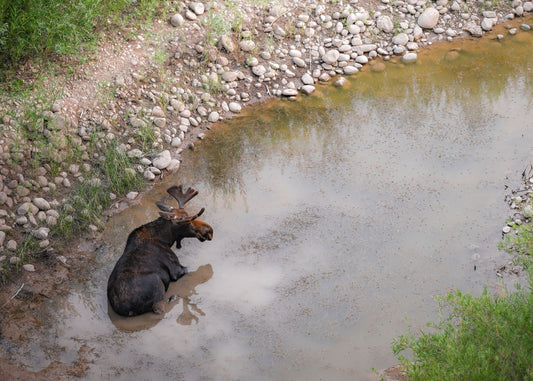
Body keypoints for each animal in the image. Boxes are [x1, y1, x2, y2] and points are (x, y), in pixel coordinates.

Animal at [107, 186, 213, 316]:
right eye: (187, 222)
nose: (209, 231)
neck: (166, 238)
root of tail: (127, 310)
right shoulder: (176, 269)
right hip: (157, 284)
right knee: (160, 309)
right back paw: (175, 297)